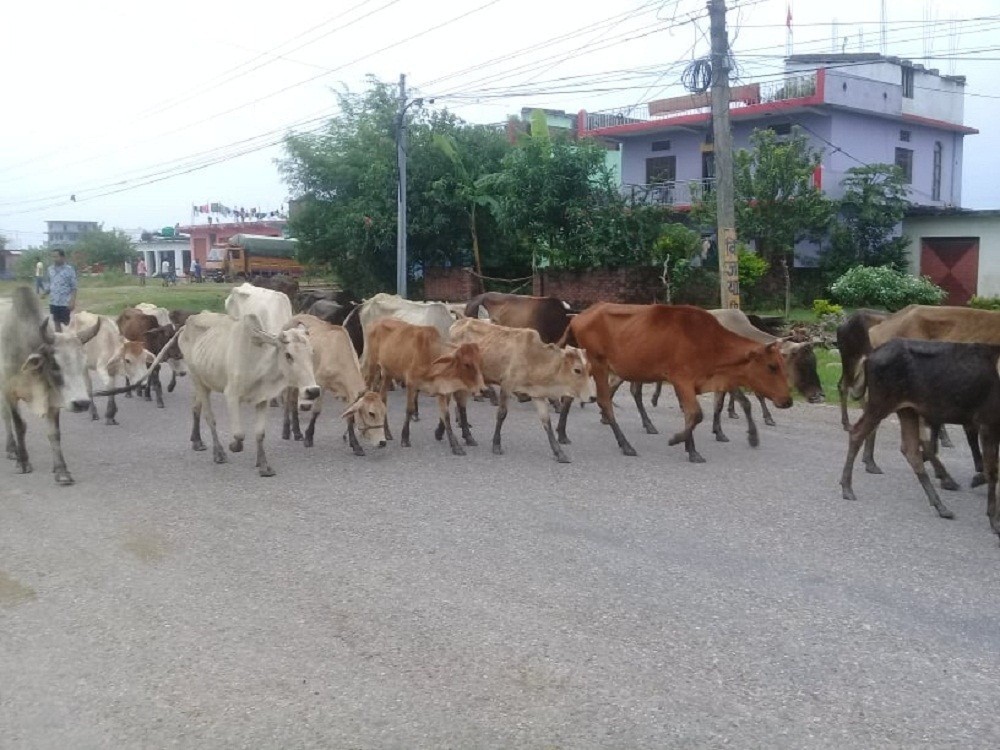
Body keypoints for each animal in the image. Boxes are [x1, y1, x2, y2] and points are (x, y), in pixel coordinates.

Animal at [178, 312, 320, 478]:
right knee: (209, 418)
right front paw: (233, 446)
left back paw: (197, 441)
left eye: (312, 353)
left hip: (204, 382)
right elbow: (239, 434)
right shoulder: (231, 395)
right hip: (197, 380)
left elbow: (260, 434)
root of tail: (189, 321)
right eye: (288, 355)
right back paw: (218, 453)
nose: (313, 391)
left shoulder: (263, 399)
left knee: (196, 407)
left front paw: (263, 465)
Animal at [362, 318, 486, 458]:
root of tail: (377, 321)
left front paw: (455, 445)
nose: (483, 389)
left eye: (479, 362)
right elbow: (409, 410)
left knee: (383, 398)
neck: (431, 355)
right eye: (466, 364)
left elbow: (446, 416)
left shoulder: (441, 390)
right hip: (372, 366)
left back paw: (387, 433)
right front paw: (405, 438)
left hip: (388, 373)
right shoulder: (411, 384)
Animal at [560, 304, 792, 458]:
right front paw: (678, 440)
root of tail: (579, 316)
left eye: (783, 364)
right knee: (605, 402)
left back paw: (562, 434)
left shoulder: (694, 384)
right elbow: (696, 415)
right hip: (598, 365)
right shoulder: (682, 379)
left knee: (571, 396)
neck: (710, 342)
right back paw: (625, 445)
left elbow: (691, 415)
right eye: (772, 366)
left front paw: (692, 450)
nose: (788, 401)